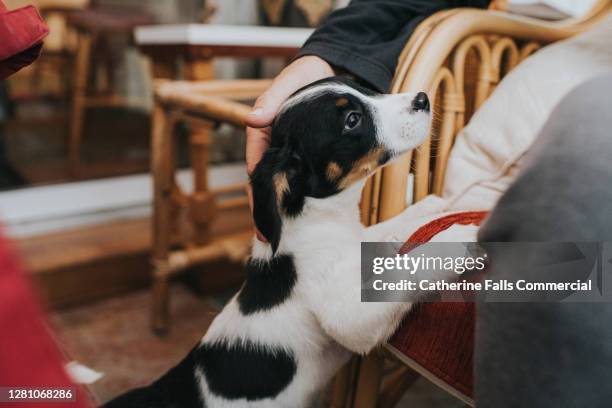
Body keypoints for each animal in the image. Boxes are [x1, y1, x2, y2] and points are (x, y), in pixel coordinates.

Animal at [107, 77, 436, 408]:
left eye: (365, 88)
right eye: (352, 120)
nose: (423, 99)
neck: (318, 218)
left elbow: (390, 229)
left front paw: (436, 204)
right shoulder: (348, 317)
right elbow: (407, 275)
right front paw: (448, 238)